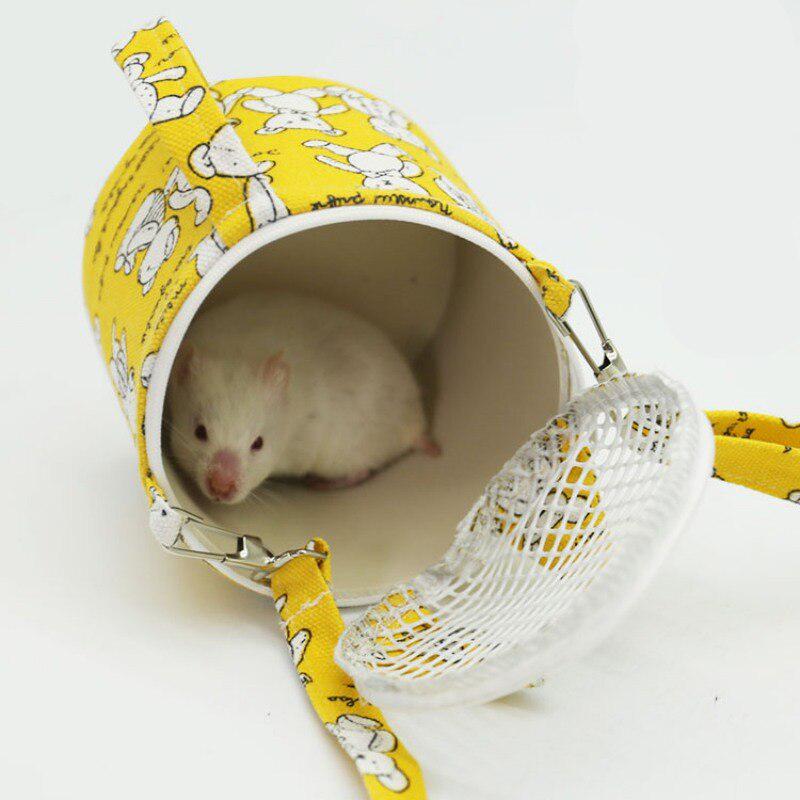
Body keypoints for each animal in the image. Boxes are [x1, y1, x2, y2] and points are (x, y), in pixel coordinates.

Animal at [165, 290, 438, 504]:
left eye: (258, 443)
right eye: (199, 432)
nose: (220, 490)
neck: (239, 353)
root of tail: (417, 423)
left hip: (345, 453)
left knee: (359, 473)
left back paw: (319, 484)